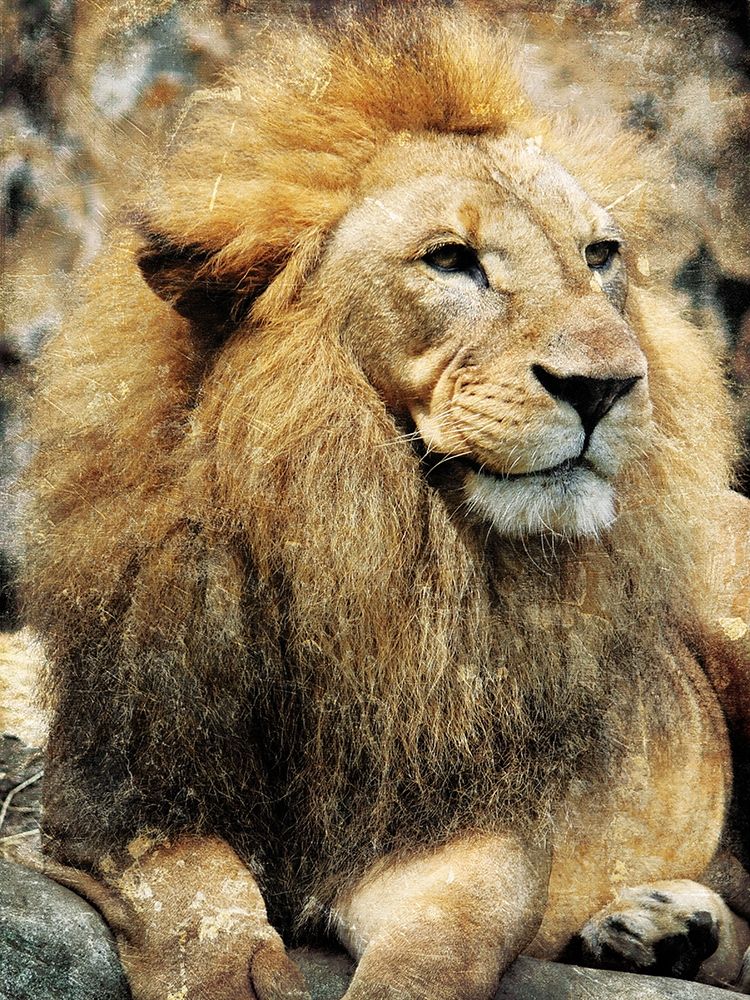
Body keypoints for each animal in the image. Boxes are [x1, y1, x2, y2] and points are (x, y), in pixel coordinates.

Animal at [21, 6, 750, 999]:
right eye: (450, 260)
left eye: (600, 256)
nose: (606, 386)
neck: (367, 534)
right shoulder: (118, 799)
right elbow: (202, 916)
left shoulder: (459, 834)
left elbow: (429, 959)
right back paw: (658, 929)